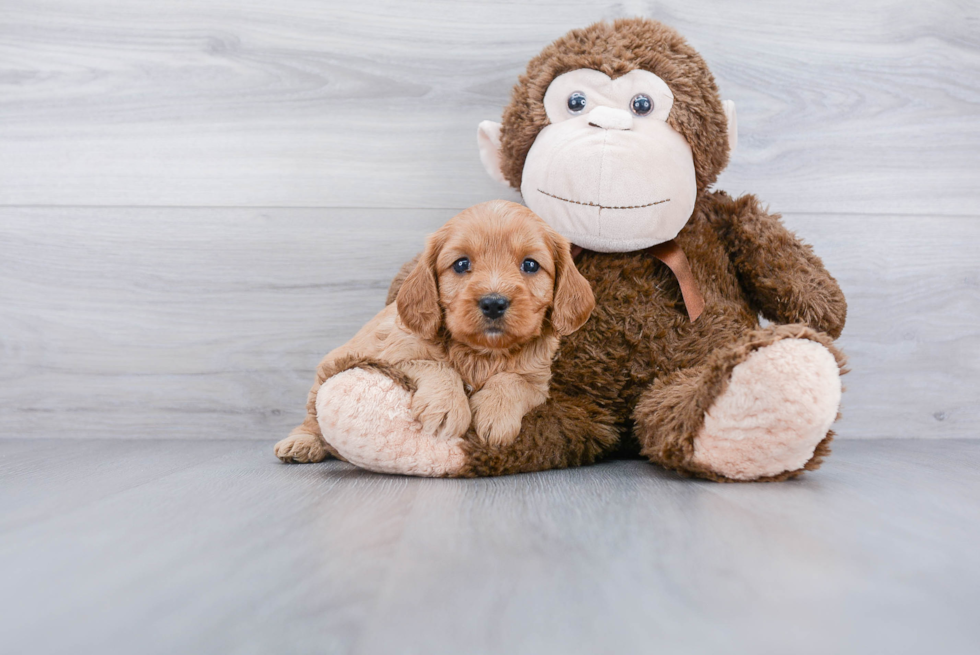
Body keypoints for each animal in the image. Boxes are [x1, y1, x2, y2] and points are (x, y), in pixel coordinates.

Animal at [278, 200, 596, 462]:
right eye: (461, 264)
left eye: (530, 264)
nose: (493, 303)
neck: (482, 353)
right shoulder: (394, 354)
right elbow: (437, 365)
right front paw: (446, 408)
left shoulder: (538, 382)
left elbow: (512, 380)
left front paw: (495, 414)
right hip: (327, 371)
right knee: (311, 418)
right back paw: (301, 443)